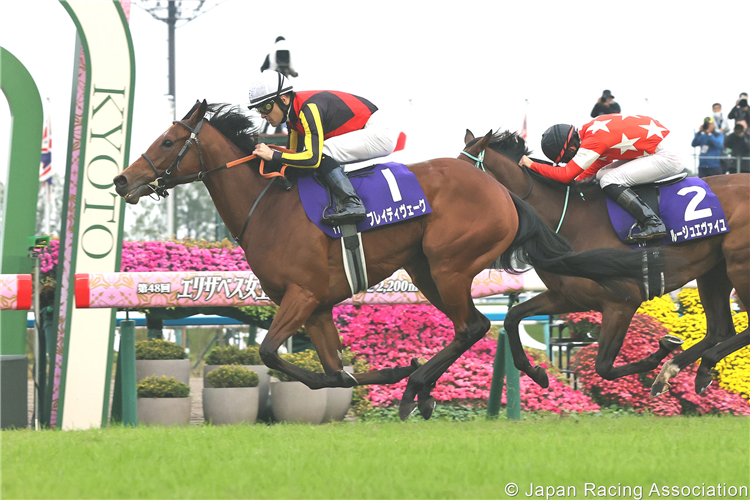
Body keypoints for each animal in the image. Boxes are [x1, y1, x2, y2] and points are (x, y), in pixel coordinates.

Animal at [111, 100, 656, 418]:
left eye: (167, 141)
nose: (121, 180)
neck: (265, 206)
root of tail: (502, 192)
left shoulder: (302, 295)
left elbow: (270, 353)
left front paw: (395, 376)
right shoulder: (316, 305)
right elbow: (332, 371)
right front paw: (377, 376)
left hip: (448, 264)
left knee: (473, 326)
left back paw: (417, 387)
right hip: (425, 269)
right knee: (472, 326)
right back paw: (421, 387)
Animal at [464, 131, 750, 396]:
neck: (571, 219)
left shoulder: (622, 301)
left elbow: (604, 367)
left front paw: (660, 352)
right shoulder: (567, 296)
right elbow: (512, 317)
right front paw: (537, 373)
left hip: (739, 267)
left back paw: (696, 367)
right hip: (714, 271)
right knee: (720, 329)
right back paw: (680, 371)